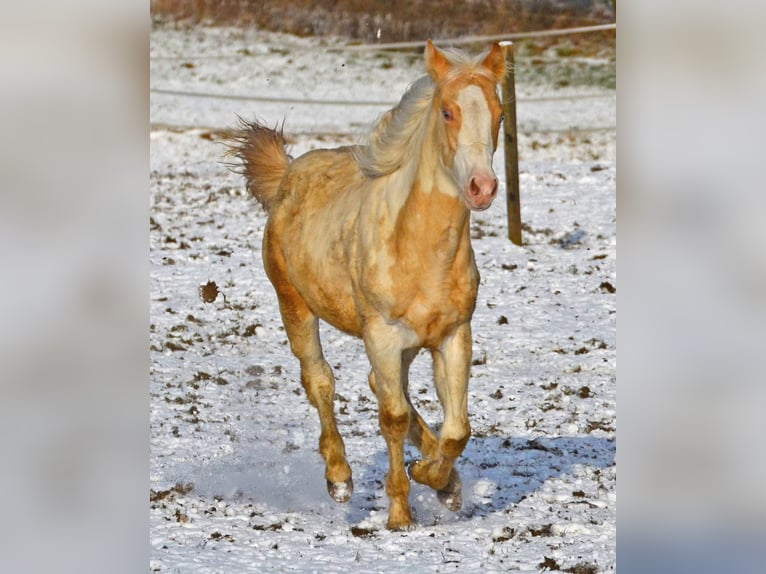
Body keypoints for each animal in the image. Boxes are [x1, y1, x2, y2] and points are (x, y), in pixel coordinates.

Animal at [231, 40, 506, 530]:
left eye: (499, 112)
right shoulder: (381, 334)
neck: (418, 247)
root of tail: (289, 174)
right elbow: (392, 417)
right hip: (295, 305)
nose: (482, 187)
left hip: (408, 344)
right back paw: (339, 478)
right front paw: (400, 513)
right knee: (320, 380)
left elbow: (457, 429)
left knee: (382, 386)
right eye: (448, 112)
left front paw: (439, 481)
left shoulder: (453, 336)